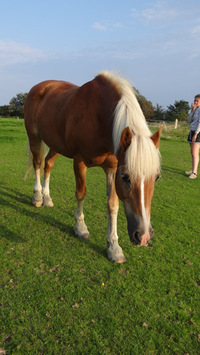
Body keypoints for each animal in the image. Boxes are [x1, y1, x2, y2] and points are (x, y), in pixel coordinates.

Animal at [23, 71, 161, 264]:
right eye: (126, 177)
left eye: (156, 177)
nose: (143, 236)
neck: (100, 117)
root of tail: (40, 86)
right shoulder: (80, 162)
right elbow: (81, 193)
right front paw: (80, 227)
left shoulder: (112, 168)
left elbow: (113, 205)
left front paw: (114, 247)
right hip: (34, 136)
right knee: (37, 164)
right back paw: (37, 197)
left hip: (56, 145)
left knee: (48, 165)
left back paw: (47, 198)